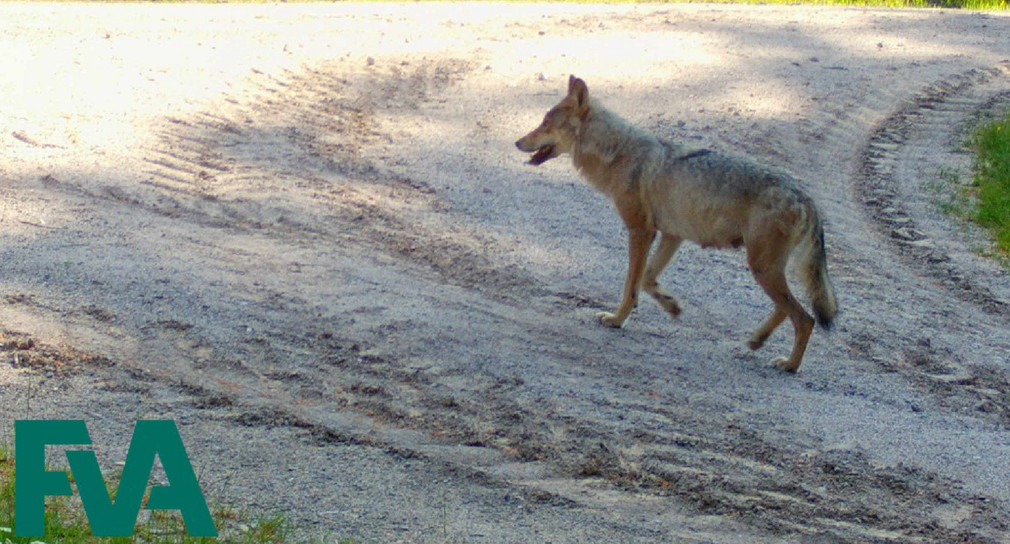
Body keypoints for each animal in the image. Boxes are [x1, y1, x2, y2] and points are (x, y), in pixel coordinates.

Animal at [513, 76, 836, 373]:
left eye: (545, 123)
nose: (517, 142)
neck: (617, 153)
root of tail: (805, 196)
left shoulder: (641, 231)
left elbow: (631, 285)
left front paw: (616, 320)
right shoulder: (671, 235)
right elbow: (646, 280)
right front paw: (671, 304)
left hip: (762, 269)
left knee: (805, 318)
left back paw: (789, 365)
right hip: (766, 270)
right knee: (788, 310)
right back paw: (757, 341)